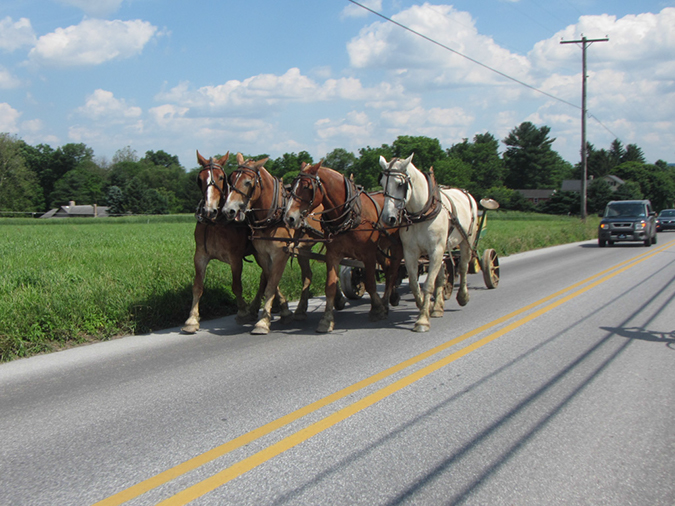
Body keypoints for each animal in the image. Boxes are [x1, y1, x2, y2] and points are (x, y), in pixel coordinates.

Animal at [184, 152, 266, 334]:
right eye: (199, 179)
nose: (209, 210)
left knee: (267, 274)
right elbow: (197, 286)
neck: (216, 223)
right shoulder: (200, 256)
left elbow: (236, 286)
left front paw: (242, 312)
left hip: (260, 253)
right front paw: (192, 319)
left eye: (221, 177)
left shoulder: (235, 259)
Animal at [219, 154, 320, 336]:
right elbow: (271, 281)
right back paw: (301, 310)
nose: (227, 210)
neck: (273, 215)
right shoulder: (262, 255)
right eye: (231, 179)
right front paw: (281, 311)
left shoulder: (280, 255)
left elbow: (271, 285)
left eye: (248, 182)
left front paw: (263, 322)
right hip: (304, 249)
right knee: (308, 275)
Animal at [284, 162, 402, 334]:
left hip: (396, 245)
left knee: (393, 270)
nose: (289, 218)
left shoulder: (368, 254)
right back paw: (390, 297)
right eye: (292, 185)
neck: (349, 215)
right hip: (381, 248)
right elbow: (330, 286)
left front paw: (377, 309)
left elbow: (370, 283)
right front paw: (326, 320)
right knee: (387, 268)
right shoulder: (333, 254)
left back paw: (387, 301)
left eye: (306, 186)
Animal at [380, 156, 480, 334]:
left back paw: (463, 296)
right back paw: (438, 307)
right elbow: (414, 285)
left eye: (400, 184)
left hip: (465, 241)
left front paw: (422, 320)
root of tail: (466, 193)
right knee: (440, 277)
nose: (387, 218)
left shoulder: (435, 250)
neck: (421, 213)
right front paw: (426, 307)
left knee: (463, 267)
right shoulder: (411, 252)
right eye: (382, 182)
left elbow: (427, 285)